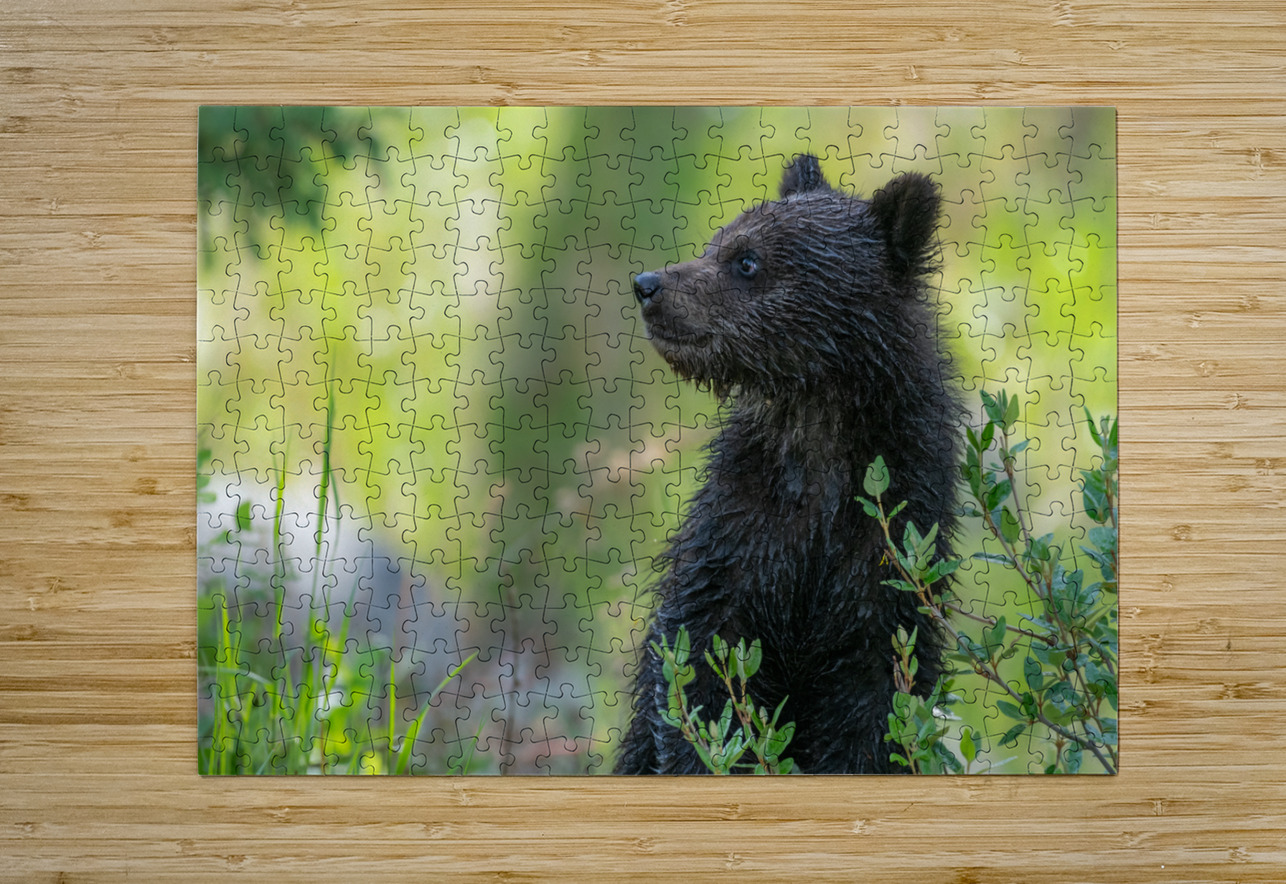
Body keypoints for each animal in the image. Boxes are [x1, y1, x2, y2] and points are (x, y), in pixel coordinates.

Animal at [614, 154, 961, 774]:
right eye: (718, 240)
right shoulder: (741, 527)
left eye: (746, 260)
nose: (648, 285)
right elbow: (698, 668)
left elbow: (878, 703)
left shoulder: (893, 538)